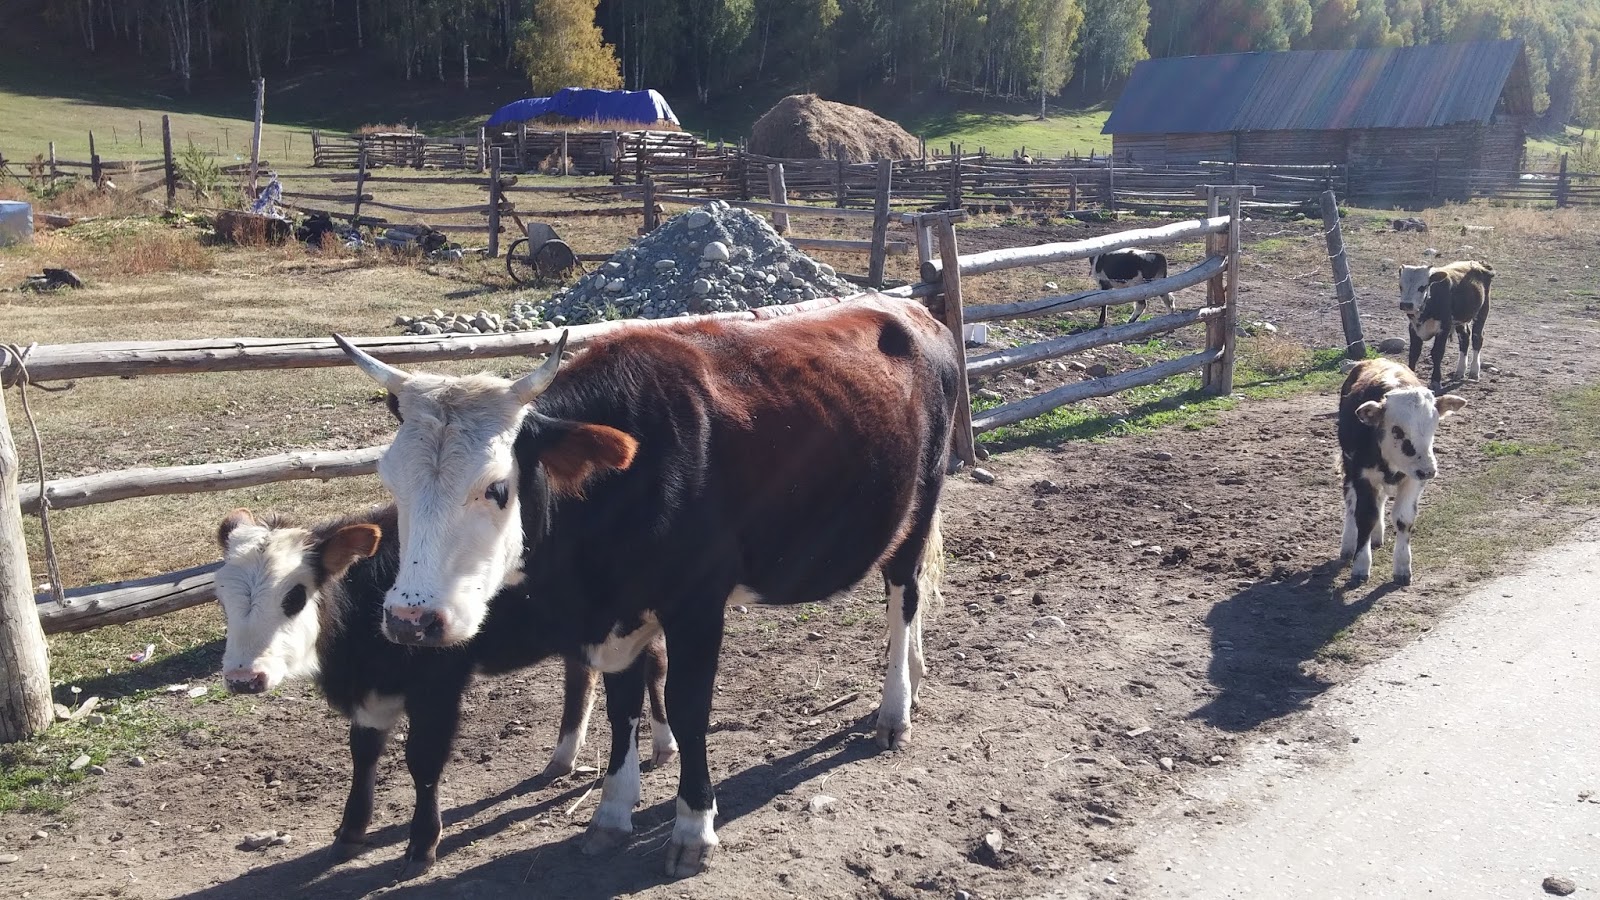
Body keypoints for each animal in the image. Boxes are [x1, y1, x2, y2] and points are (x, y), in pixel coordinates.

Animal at [213, 505, 674, 878]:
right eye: (221, 597)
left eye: (294, 595)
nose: (242, 677)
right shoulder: (372, 692)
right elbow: (363, 753)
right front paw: (349, 833)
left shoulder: (438, 687)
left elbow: (423, 760)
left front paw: (421, 845)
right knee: (582, 676)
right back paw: (562, 757)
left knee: (655, 665)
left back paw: (663, 745)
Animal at [331, 292, 958, 877]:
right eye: (391, 481)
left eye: (496, 487)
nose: (410, 619)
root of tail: (914, 311)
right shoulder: (619, 616)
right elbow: (621, 706)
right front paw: (610, 814)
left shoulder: (697, 606)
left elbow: (688, 706)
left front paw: (693, 827)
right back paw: (915, 680)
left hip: (918, 505)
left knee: (903, 598)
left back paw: (894, 713)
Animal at [1337, 358, 1466, 585]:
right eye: (1397, 430)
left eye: (1434, 426)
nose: (1429, 470)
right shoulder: (1363, 476)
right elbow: (1365, 516)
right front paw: (1361, 566)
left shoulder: (1414, 480)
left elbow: (1403, 519)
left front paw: (1403, 567)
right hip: (1349, 467)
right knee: (1351, 503)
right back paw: (1349, 543)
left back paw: (1377, 536)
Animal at [1397, 260, 1493, 391]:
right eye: (1400, 286)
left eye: (1422, 287)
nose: (1406, 304)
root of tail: (1479, 263)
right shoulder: (1413, 327)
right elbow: (1414, 352)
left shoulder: (1444, 327)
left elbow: (1437, 353)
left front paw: (1435, 381)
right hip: (1460, 319)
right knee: (1465, 338)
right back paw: (1460, 371)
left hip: (1482, 311)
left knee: (1477, 338)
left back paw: (1474, 372)